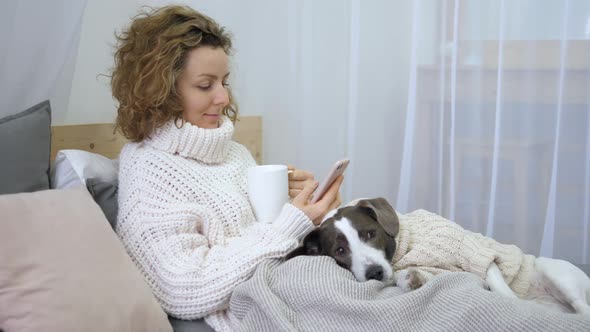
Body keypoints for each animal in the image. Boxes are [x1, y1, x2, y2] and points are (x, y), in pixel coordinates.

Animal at [290, 197, 590, 316]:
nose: (375, 273)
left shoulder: (475, 251)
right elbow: (409, 277)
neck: (407, 242)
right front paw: (411, 279)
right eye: (340, 251)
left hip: (557, 275)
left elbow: (500, 287)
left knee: (583, 310)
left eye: (369, 234)